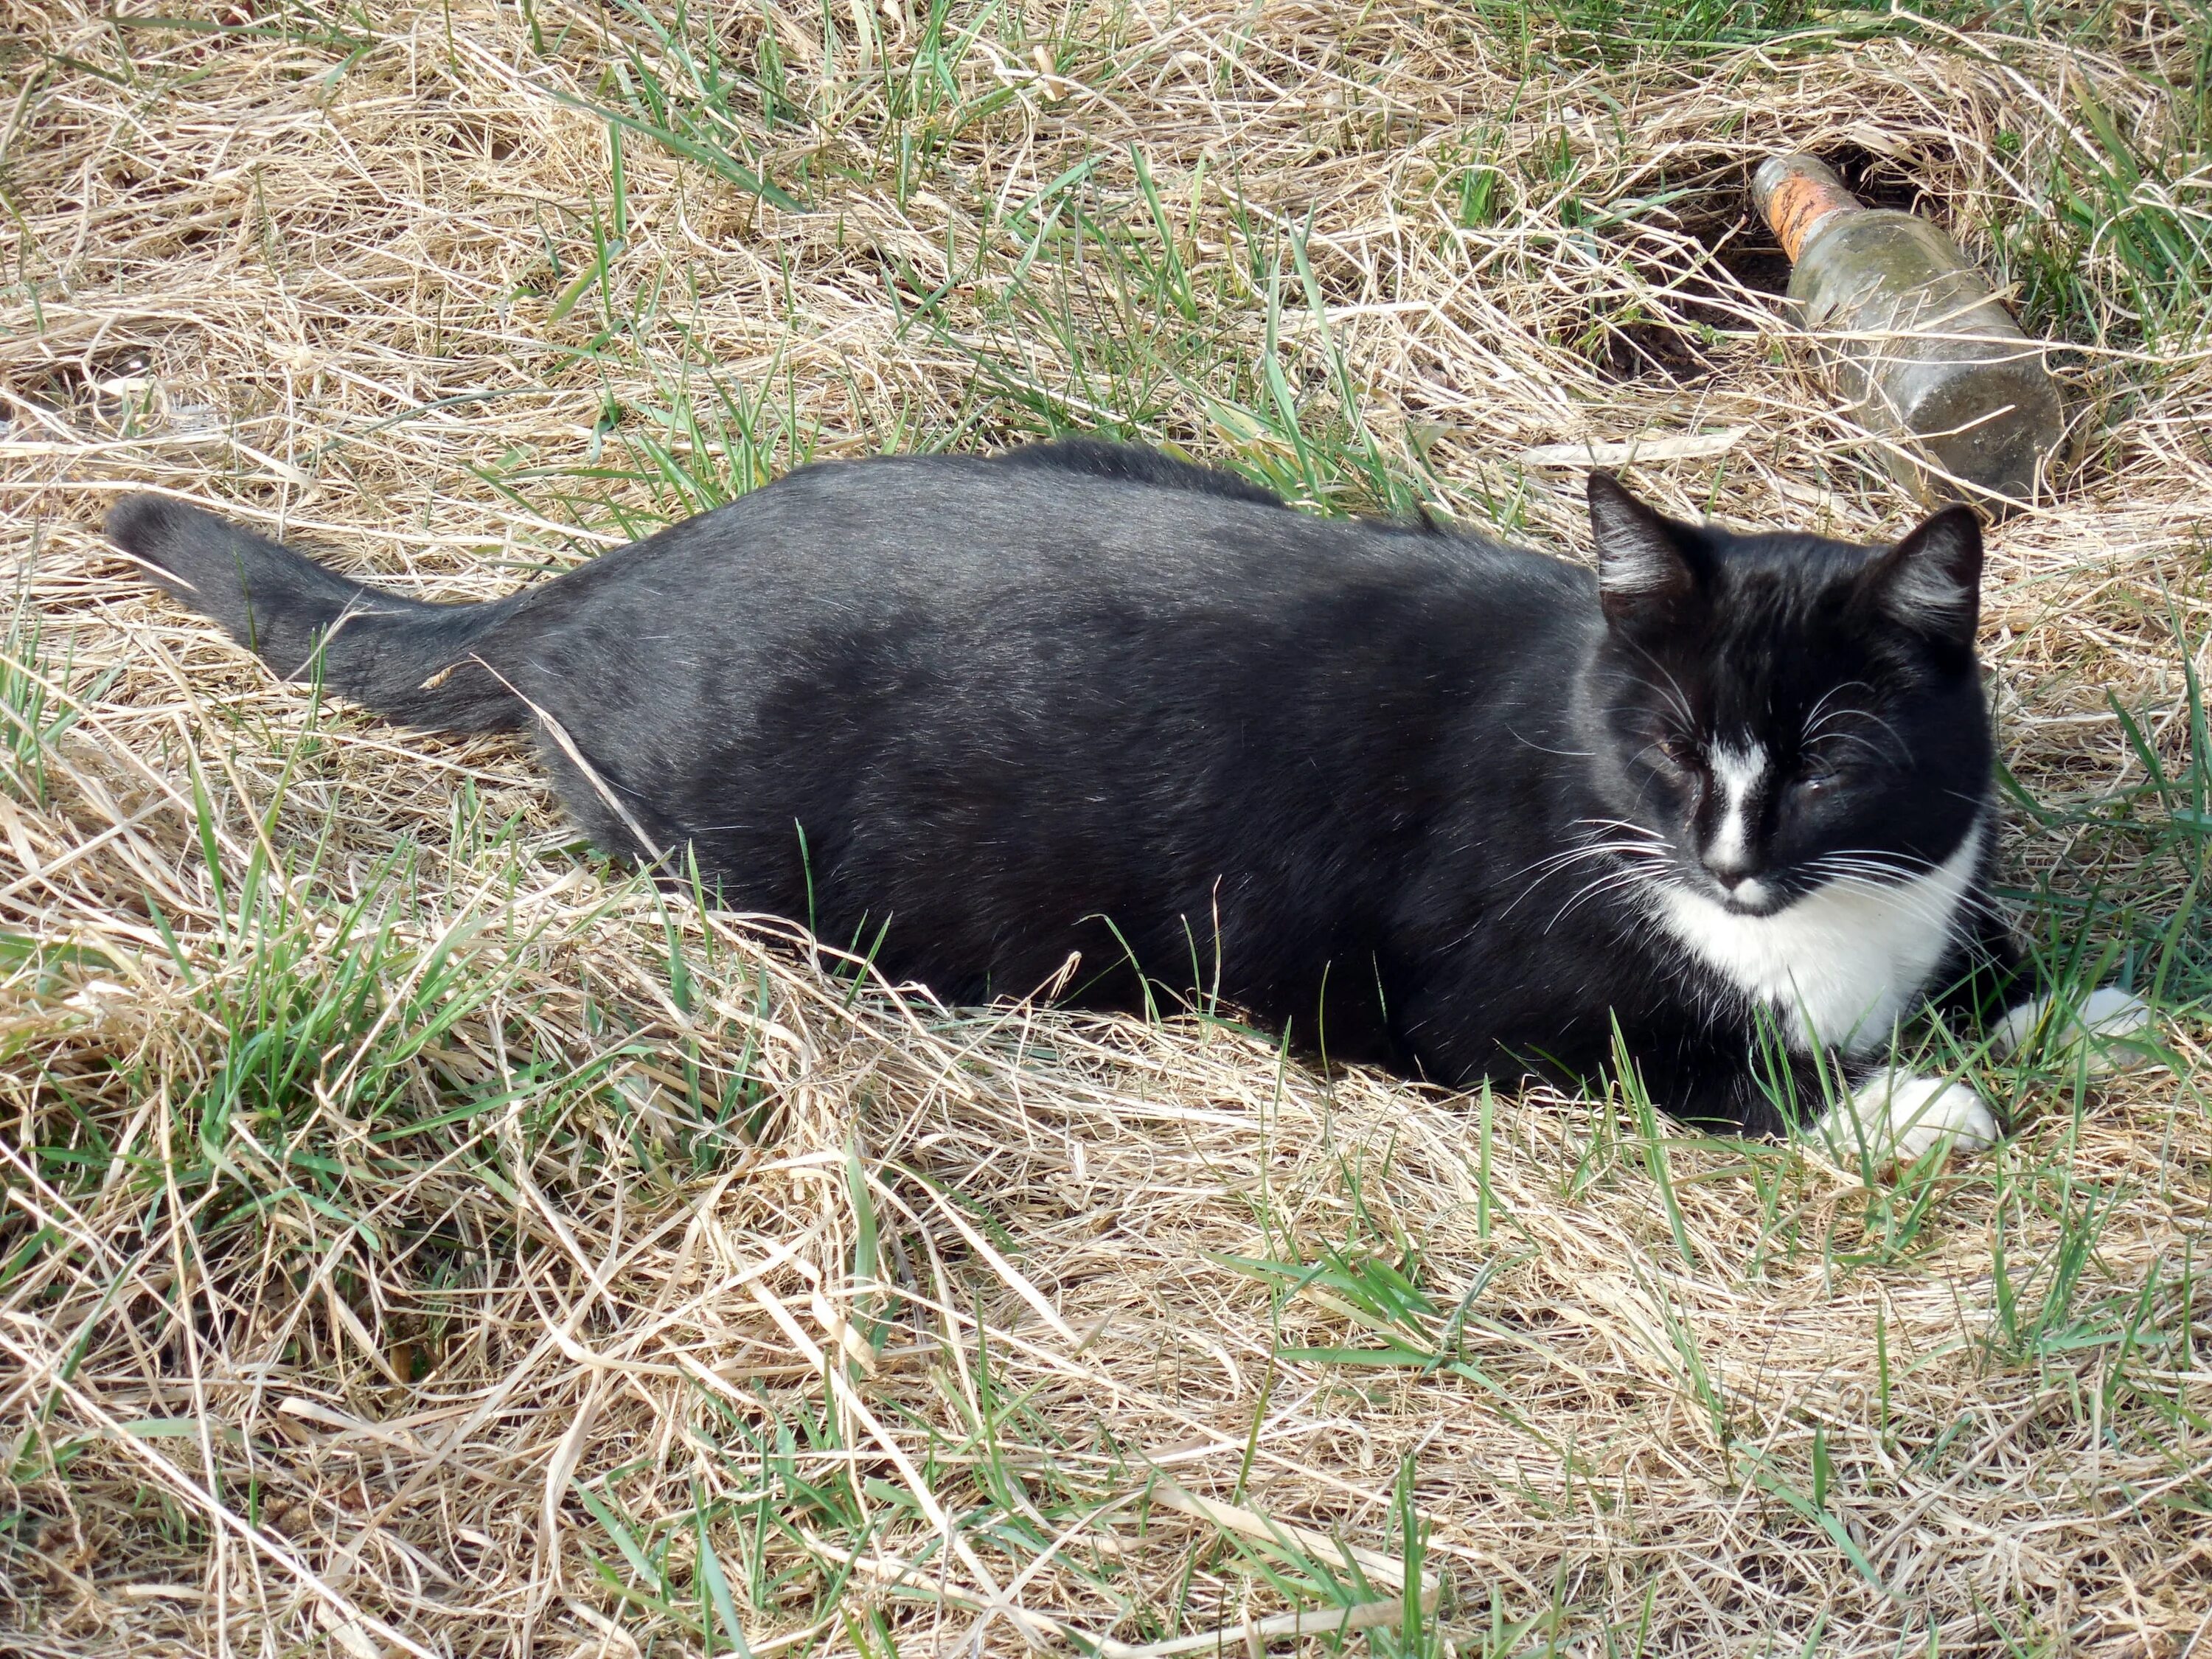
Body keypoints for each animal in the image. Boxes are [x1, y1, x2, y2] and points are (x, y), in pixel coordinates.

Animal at [104, 445, 2141, 1168]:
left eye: (1832, 758)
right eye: (1661, 741)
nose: (1726, 859)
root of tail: (593, 588)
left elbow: (1980, 943)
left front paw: (2075, 999)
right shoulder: (1470, 1012)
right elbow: (1712, 1071)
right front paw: (1913, 1099)